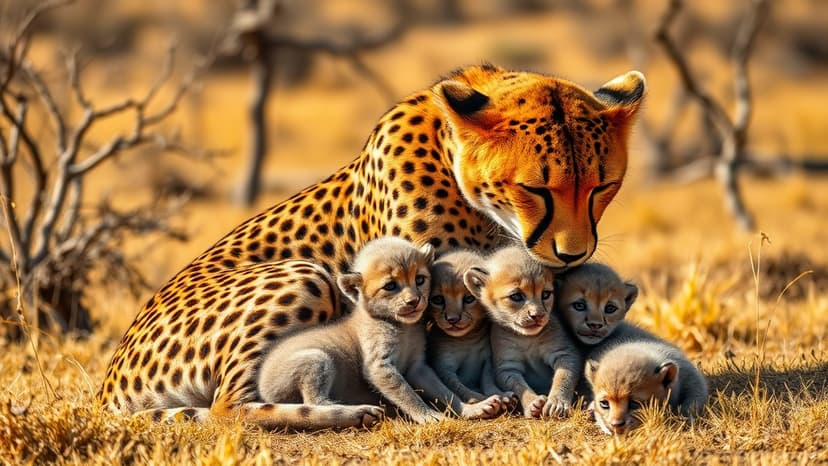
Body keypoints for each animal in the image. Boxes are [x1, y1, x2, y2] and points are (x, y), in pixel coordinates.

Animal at [98, 64, 646, 424]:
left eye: (601, 186)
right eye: (534, 189)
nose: (573, 253)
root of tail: (109, 381)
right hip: (305, 274)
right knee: (228, 407)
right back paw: (354, 410)